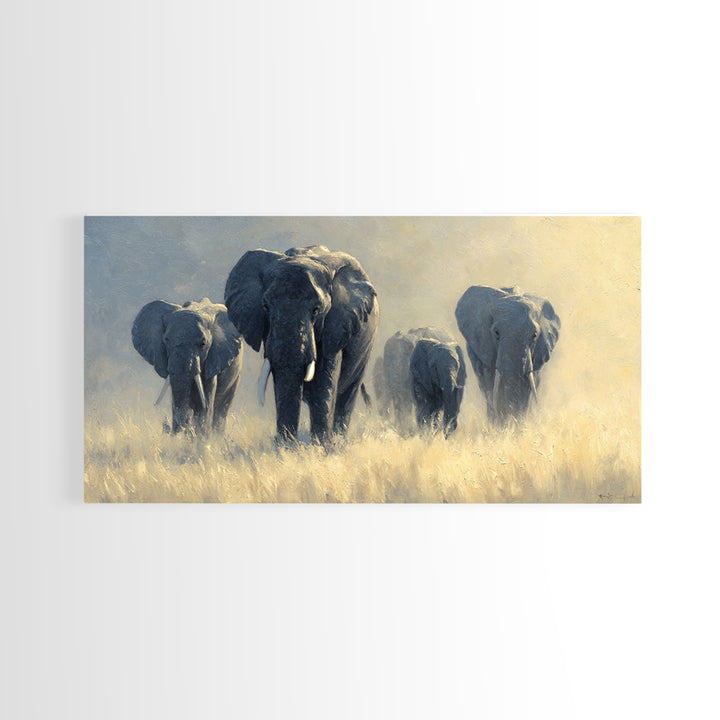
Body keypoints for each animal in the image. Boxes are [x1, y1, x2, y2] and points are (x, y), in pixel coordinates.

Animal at [131, 297, 243, 435]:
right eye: (166, 340)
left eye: (203, 344)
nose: (166, 425)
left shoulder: (215, 357)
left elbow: (205, 401)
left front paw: (201, 437)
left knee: (221, 409)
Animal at [224, 245, 379, 441]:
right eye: (265, 307)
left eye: (316, 310)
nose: (284, 442)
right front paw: (286, 446)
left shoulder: (337, 323)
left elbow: (324, 380)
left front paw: (319, 446)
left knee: (347, 394)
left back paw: (337, 442)